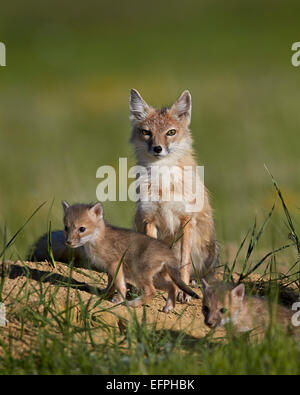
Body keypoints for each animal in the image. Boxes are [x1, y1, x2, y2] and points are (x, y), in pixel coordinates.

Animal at [129, 88, 218, 302]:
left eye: (171, 132)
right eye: (146, 132)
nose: (157, 148)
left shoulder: (186, 221)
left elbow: (184, 262)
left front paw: (183, 291)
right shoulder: (149, 219)